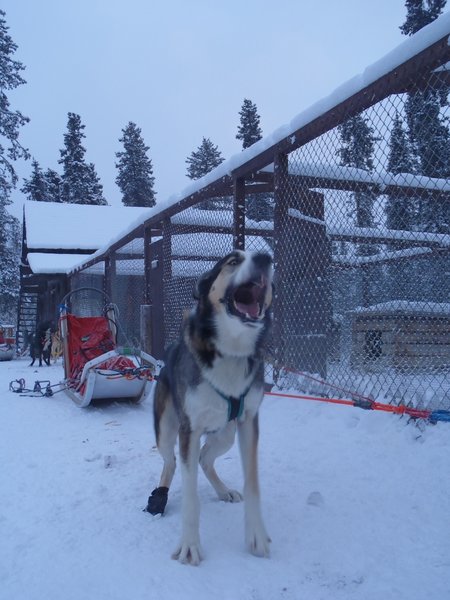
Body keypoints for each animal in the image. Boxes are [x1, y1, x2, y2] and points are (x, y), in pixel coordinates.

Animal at [148, 251, 272, 564]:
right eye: (232, 261)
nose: (265, 257)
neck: (231, 351)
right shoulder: (189, 430)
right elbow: (191, 497)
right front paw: (189, 545)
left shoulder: (248, 422)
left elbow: (253, 484)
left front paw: (256, 535)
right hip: (167, 431)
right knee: (172, 461)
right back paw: (160, 496)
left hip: (226, 433)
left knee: (204, 458)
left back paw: (223, 491)